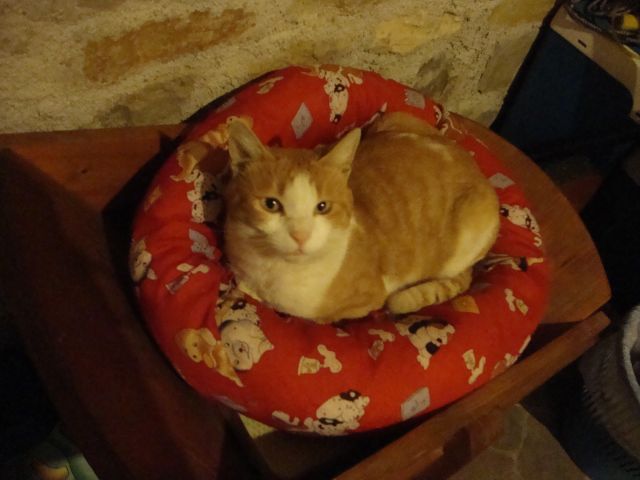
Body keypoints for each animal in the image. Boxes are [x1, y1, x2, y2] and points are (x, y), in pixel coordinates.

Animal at [222, 112, 500, 324]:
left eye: (322, 207)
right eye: (271, 204)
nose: (300, 235)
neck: (271, 271)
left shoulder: (365, 300)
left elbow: (321, 316)